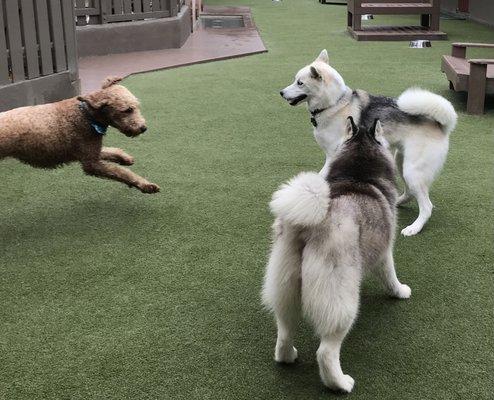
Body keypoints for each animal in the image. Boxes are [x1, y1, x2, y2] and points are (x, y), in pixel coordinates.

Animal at [0, 77, 159, 194]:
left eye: (137, 107)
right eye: (128, 110)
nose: (143, 128)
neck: (86, 115)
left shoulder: (90, 151)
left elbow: (110, 151)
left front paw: (124, 158)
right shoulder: (91, 163)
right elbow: (122, 172)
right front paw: (145, 185)